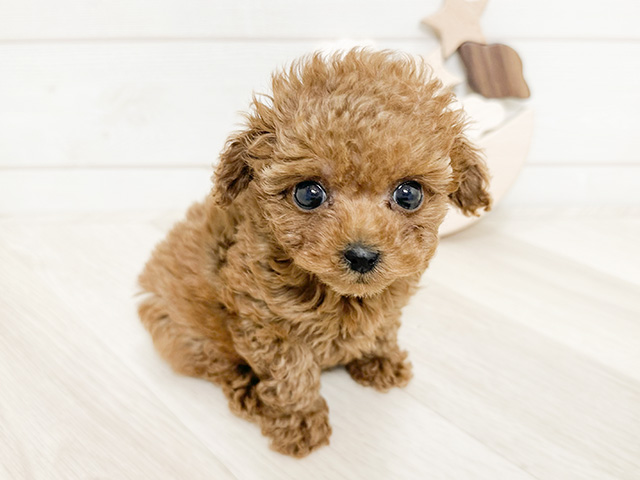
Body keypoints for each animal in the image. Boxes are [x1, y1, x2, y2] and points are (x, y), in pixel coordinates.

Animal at [139, 48, 490, 458]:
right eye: (309, 194)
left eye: (409, 194)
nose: (361, 255)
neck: (339, 295)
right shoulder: (267, 322)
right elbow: (291, 374)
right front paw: (300, 422)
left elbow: (383, 328)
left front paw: (379, 359)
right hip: (179, 328)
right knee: (218, 363)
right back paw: (250, 393)